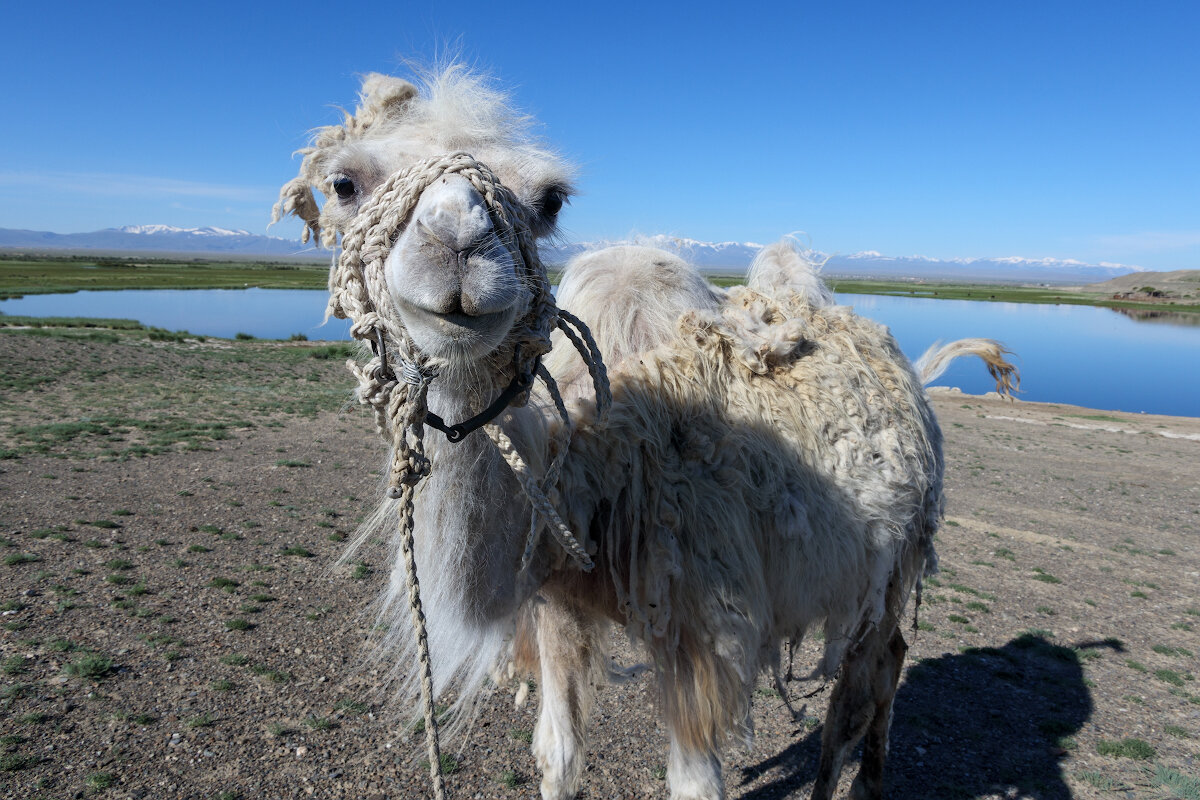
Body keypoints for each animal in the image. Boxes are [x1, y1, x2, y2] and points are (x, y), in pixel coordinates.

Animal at [276, 67, 1017, 800]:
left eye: (550, 200)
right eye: (343, 184)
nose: (458, 246)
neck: (597, 473)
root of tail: (909, 368)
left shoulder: (703, 621)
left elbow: (695, 781)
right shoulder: (556, 602)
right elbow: (558, 755)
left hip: (892, 562)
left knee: (858, 687)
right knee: (887, 662)